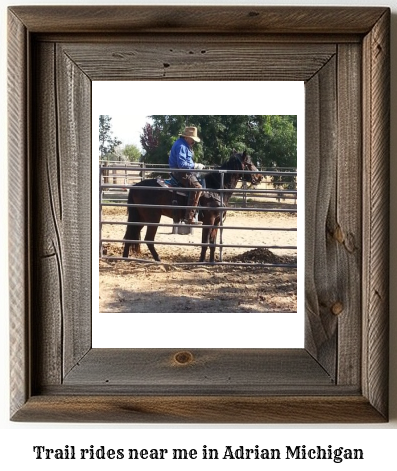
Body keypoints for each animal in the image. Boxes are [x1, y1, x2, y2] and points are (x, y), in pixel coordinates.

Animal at [122, 151, 262, 262]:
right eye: (249, 163)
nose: (260, 177)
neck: (216, 189)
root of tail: (135, 186)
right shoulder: (209, 220)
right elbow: (205, 242)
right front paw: (201, 261)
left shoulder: (217, 221)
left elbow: (213, 242)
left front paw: (212, 262)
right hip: (152, 218)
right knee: (148, 239)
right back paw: (158, 259)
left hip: (139, 218)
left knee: (129, 235)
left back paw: (125, 258)